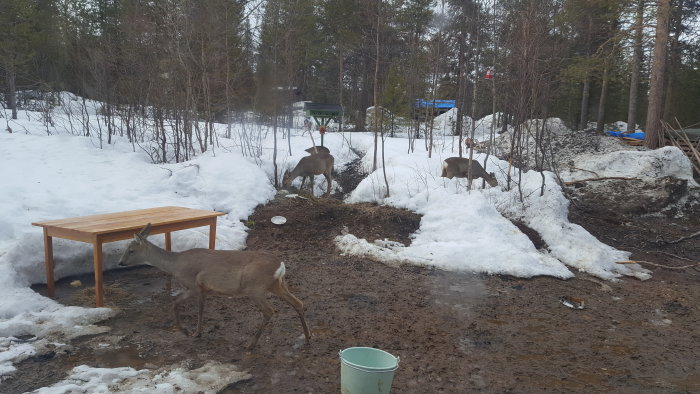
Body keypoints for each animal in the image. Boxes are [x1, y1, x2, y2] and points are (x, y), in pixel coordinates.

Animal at [118, 223, 312, 350]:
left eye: (131, 250)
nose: (120, 263)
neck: (175, 265)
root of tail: (280, 265)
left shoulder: (193, 285)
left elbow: (180, 304)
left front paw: (188, 331)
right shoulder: (204, 289)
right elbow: (196, 307)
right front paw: (194, 332)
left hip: (255, 288)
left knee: (270, 311)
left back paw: (250, 344)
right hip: (277, 285)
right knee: (298, 303)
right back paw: (308, 338)